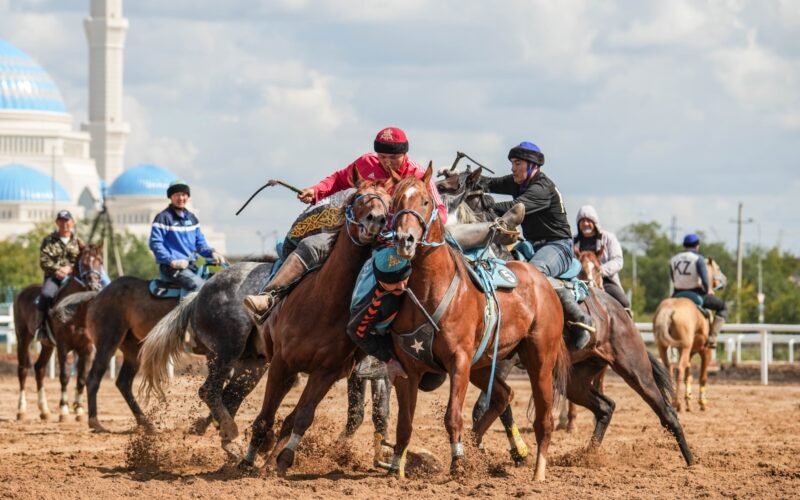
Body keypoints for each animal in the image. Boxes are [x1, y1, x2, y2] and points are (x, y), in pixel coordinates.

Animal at [13, 244, 106, 420]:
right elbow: (64, 376)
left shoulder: (87, 349)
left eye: (100, 261)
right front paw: (63, 410)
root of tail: (22, 292)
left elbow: (82, 378)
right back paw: (21, 410)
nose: (93, 285)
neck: (76, 310)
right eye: (83, 262)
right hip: (23, 338)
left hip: (47, 345)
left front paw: (79, 410)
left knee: (40, 369)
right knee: (23, 369)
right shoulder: (63, 346)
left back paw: (44, 410)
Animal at [138, 260, 276, 458]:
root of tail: (198, 295)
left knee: (230, 394)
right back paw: (230, 433)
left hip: (253, 362)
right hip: (230, 347)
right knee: (210, 391)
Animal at [241, 169, 396, 476]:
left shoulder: (326, 372)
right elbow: (266, 416)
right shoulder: (281, 363)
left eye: (388, 201)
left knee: (290, 418)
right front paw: (248, 460)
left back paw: (271, 462)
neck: (324, 303)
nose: (376, 220)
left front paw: (282, 462)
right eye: (360, 197)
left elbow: (302, 417)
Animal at [390, 167, 568, 480]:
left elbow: (452, 416)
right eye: (397, 201)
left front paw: (458, 464)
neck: (432, 288)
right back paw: (479, 444)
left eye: (425, 201)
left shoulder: (458, 361)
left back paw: (538, 473)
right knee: (504, 396)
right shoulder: (407, 367)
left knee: (544, 419)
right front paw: (396, 470)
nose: (405, 240)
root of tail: (544, 282)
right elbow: (404, 424)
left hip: (539, 360)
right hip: (484, 366)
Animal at [656, 256, 724, 412]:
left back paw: (673, 401)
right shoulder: (705, 352)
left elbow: (689, 376)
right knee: (679, 369)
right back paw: (677, 404)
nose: (723, 281)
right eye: (717, 268)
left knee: (669, 368)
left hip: (663, 346)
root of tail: (670, 309)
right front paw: (702, 403)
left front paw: (688, 401)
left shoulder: (690, 352)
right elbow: (702, 377)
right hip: (685, 347)